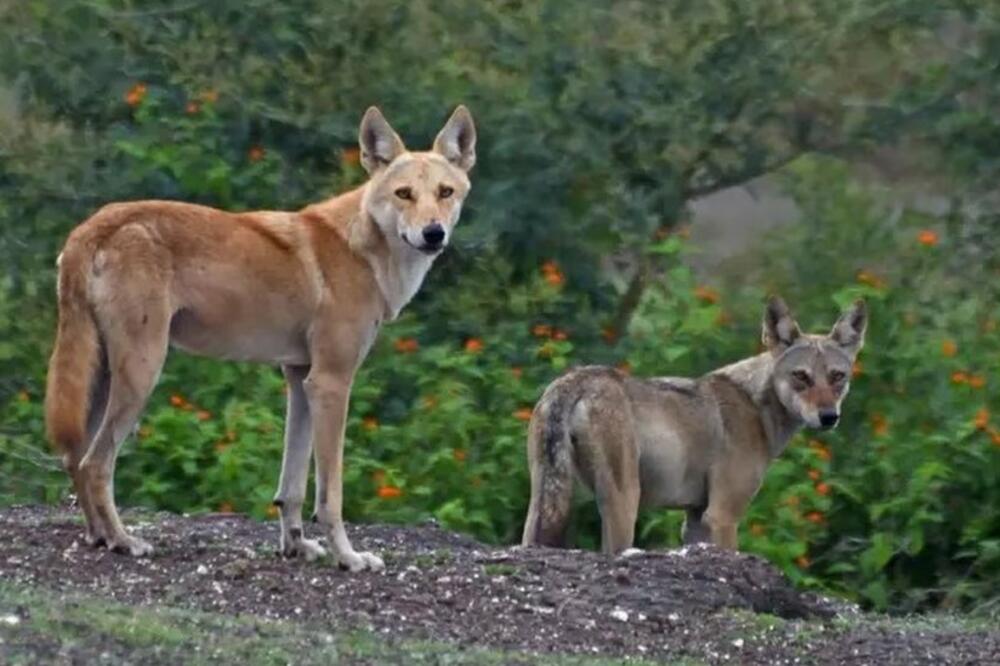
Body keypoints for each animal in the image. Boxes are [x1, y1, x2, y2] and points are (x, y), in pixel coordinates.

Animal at [48, 106, 478, 568]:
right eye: (404, 194)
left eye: (445, 192)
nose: (433, 233)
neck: (363, 250)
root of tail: (92, 226)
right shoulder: (332, 383)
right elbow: (330, 495)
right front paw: (348, 557)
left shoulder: (301, 380)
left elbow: (291, 487)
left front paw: (296, 546)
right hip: (142, 375)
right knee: (95, 463)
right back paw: (124, 540)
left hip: (104, 378)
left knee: (74, 457)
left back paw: (98, 536)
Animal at [524, 298, 868, 552]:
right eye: (801, 377)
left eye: (837, 377)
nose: (828, 416)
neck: (756, 407)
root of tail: (574, 380)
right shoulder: (723, 516)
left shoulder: (696, 519)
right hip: (624, 504)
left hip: (544, 501)